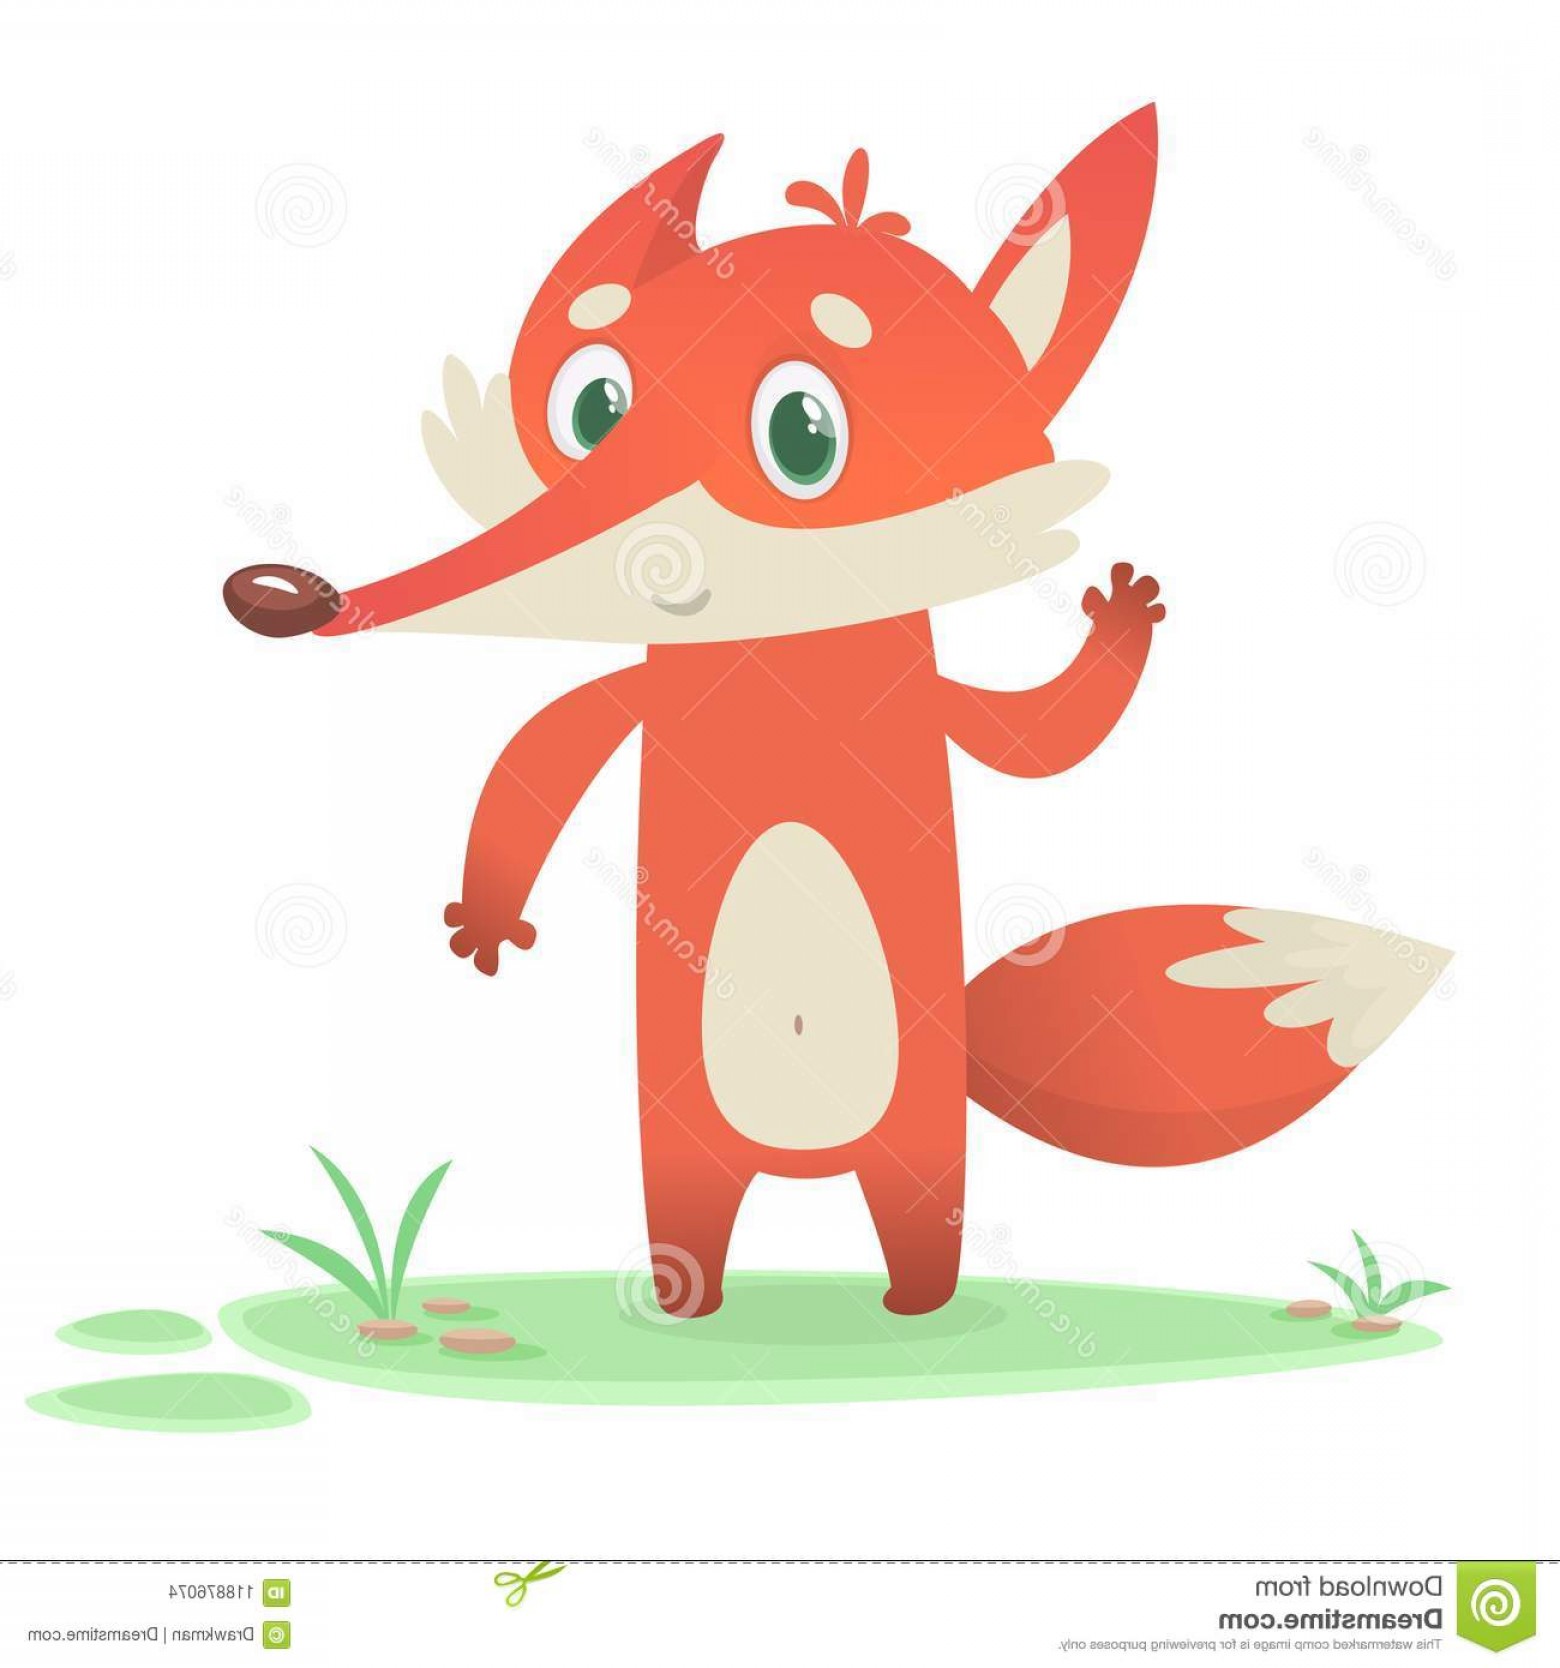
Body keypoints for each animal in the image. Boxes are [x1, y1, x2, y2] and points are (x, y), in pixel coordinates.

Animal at [224, 109, 1450, 1318]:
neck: (782, 662)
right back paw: (693, 1301)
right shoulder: (642, 692)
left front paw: (1123, 617)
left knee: (916, 1211)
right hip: (685, 1132)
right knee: (693, 1213)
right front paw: (484, 922)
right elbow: (546, 749)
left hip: (916, 1131)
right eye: (592, 407)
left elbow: (1036, 740)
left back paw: (915, 1303)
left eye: (803, 435)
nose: (284, 597)